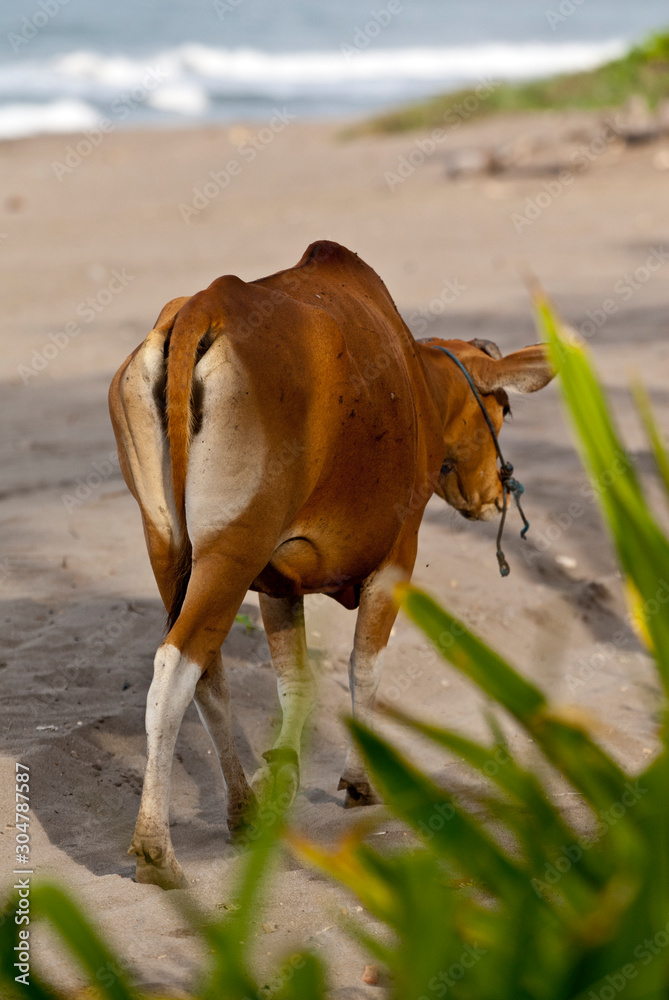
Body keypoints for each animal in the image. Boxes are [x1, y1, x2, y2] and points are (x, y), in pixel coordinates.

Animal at [108, 240, 553, 889]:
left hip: (169, 549)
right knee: (175, 667)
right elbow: (363, 667)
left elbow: (296, 679)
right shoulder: (397, 559)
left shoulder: (275, 583)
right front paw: (362, 778)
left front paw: (284, 774)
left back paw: (240, 809)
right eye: (501, 411)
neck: (416, 380)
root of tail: (206, 306)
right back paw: (156, 848)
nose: (496, 492)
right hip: (232, 551)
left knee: (205, 670)